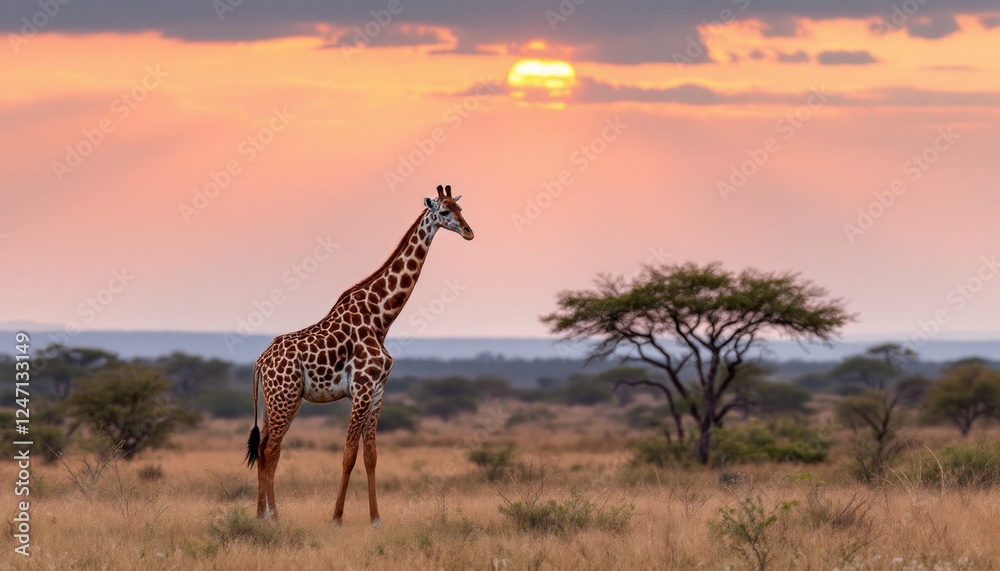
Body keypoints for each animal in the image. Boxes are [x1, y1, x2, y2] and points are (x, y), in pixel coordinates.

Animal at [244, 184, 474, 525]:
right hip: (283, 397)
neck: (381, 319)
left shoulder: (378, 390)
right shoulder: (362, 388)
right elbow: (348, 454)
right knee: (272, 449)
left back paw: (262, 515)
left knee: (264, 448)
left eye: (460, 209)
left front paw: (375, 518)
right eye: (444, 212)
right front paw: (336, 518)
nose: (469, 232)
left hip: (283, 399)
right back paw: (273, 516)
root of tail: (262, 360)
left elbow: (371, 455)